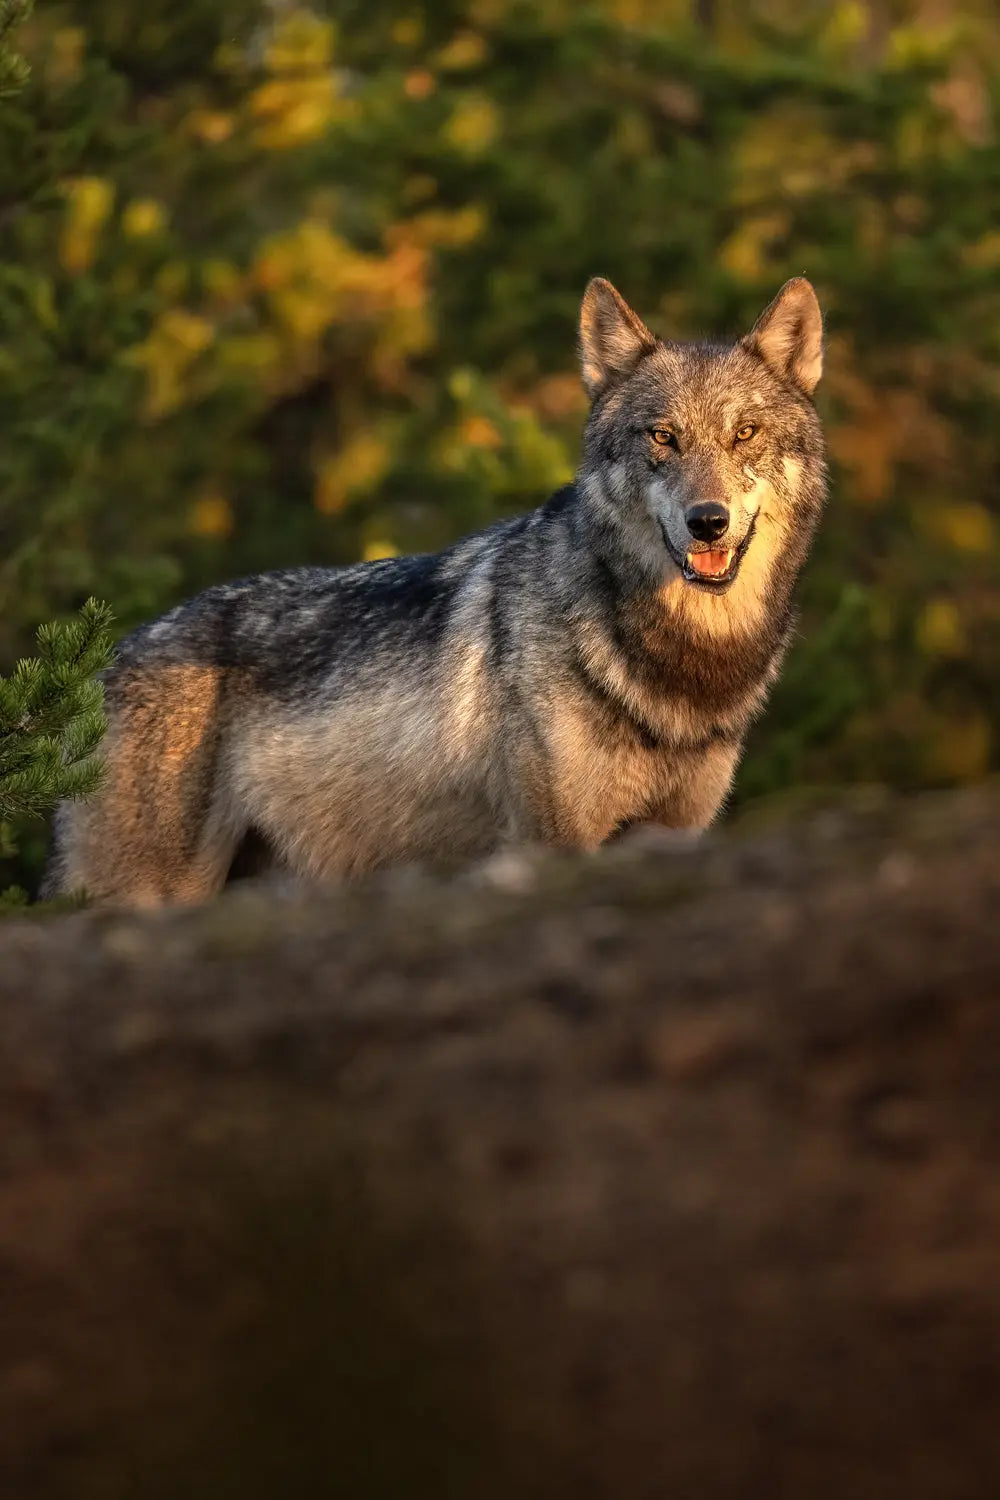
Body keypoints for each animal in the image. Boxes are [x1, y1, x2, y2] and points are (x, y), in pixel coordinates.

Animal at [43, 276, 826, 908]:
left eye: (746, 434)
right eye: (662, 437)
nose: (707, 521)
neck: (683, 664)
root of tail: (106, 661)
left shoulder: (676, 835)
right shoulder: (556, 839)